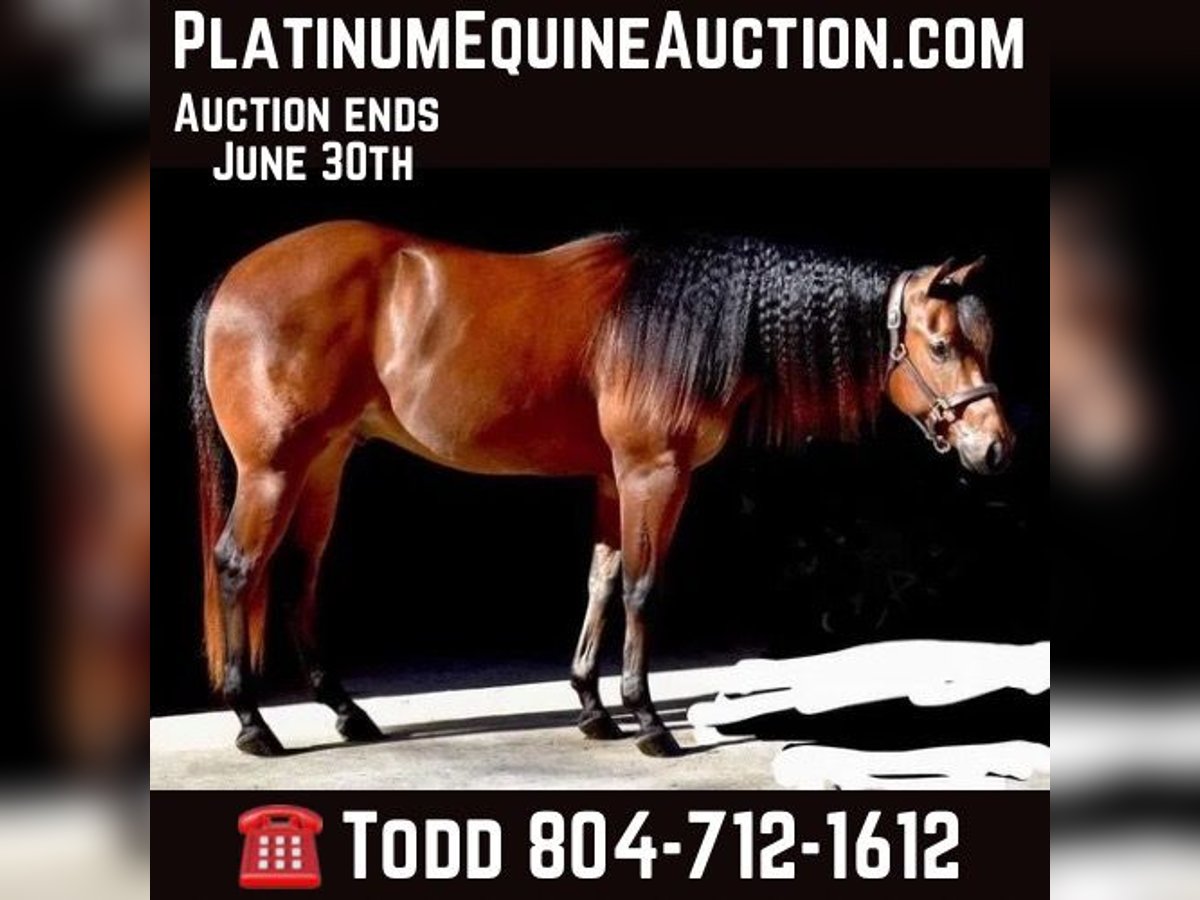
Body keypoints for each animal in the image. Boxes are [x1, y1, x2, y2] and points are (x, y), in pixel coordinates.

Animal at [190, 223, 1014, 758]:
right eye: (942, 345)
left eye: (983, 343)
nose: (995, 447)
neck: (691, 324)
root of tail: (233, 279)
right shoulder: (655, 474)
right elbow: (644, 588)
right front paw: (647, 721)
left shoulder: (615, 482)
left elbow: (603, 579)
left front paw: (592, 707)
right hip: (273, 469)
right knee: (238, 567)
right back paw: (252, 723)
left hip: (324, 464)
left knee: (299, 573)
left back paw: (345, 710)